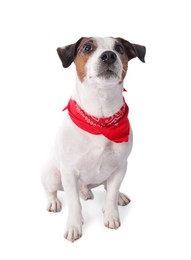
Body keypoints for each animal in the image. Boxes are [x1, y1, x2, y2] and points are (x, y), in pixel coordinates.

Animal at [41, 36, 145, 242]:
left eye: (119, 48)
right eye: (87, 48)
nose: (109, 55)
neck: (100, 121)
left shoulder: (120, 167)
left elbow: (111, 194)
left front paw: (111, 215)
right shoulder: (69, 173)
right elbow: (74, 204)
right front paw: (74, 226)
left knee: (107, 188)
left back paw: (118, 196)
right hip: (52, 175)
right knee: (51, 190)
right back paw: (54, 202)